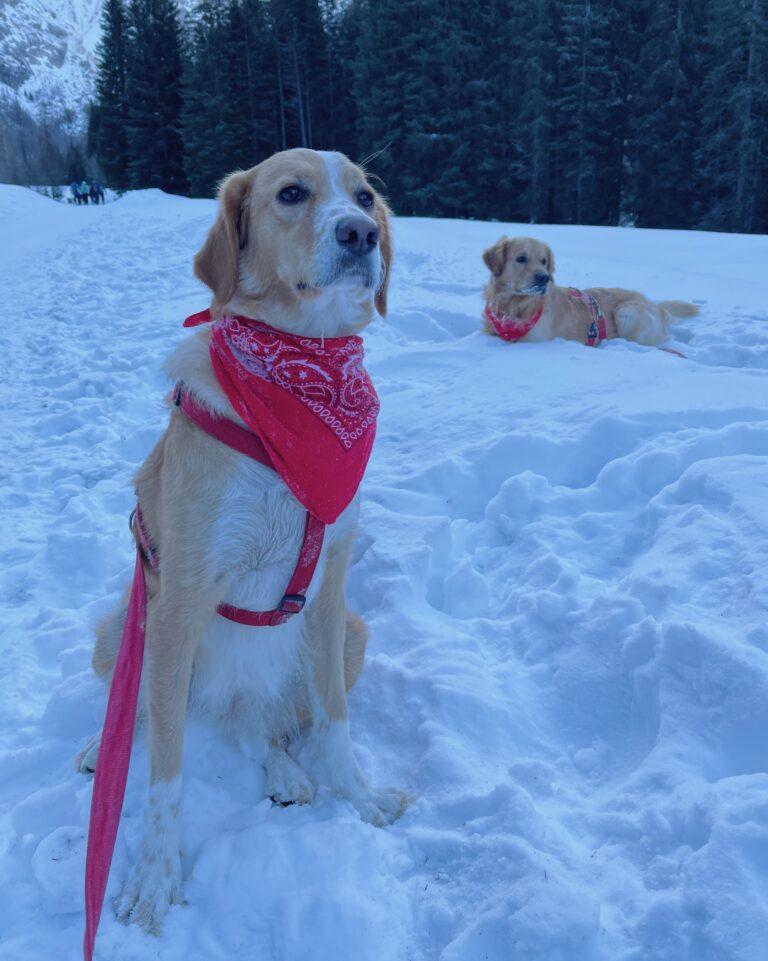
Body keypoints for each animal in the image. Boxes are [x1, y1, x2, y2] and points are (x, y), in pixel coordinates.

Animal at [76, 148, 408, 928]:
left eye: (364, 196)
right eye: (291, 194)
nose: (359, 235)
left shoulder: (330, 592)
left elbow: (336, 719)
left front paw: (357, 796)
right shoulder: (176, 606)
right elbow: (164, 773)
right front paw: (155, 877)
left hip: (352, 634)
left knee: (272, 725)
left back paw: (287, 770)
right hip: (122, 625)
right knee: (141, 713)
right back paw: (100, 747)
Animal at [480, 235, 696, 346]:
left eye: (543, 261)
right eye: (521, 258)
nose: (544, 278)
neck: (513, 306)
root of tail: (655, 304)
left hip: (628, 311)